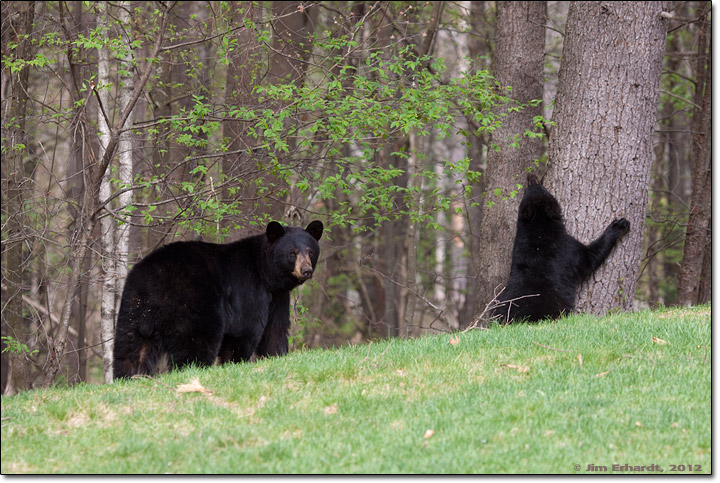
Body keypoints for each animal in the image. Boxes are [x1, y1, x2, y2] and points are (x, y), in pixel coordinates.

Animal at [112, 220, 323, 379]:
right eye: (292, 253)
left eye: (310, 251)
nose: (306, 270)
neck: (265, 273)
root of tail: (155, 281)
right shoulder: (248, 290)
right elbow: (245, 330)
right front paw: (234, 363)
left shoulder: (277, 298)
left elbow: (275, 331)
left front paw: (277, 355)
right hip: (194, 303)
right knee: (196, 344)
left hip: (134, 308)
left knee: (131, 349)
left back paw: (130, 376)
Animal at [491, 174, 629, 323]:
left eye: (539, 187)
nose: (531, 177)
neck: (539, 230)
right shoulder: (568, 248)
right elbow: (590, 257)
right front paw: (619, 225)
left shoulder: (520, 245)